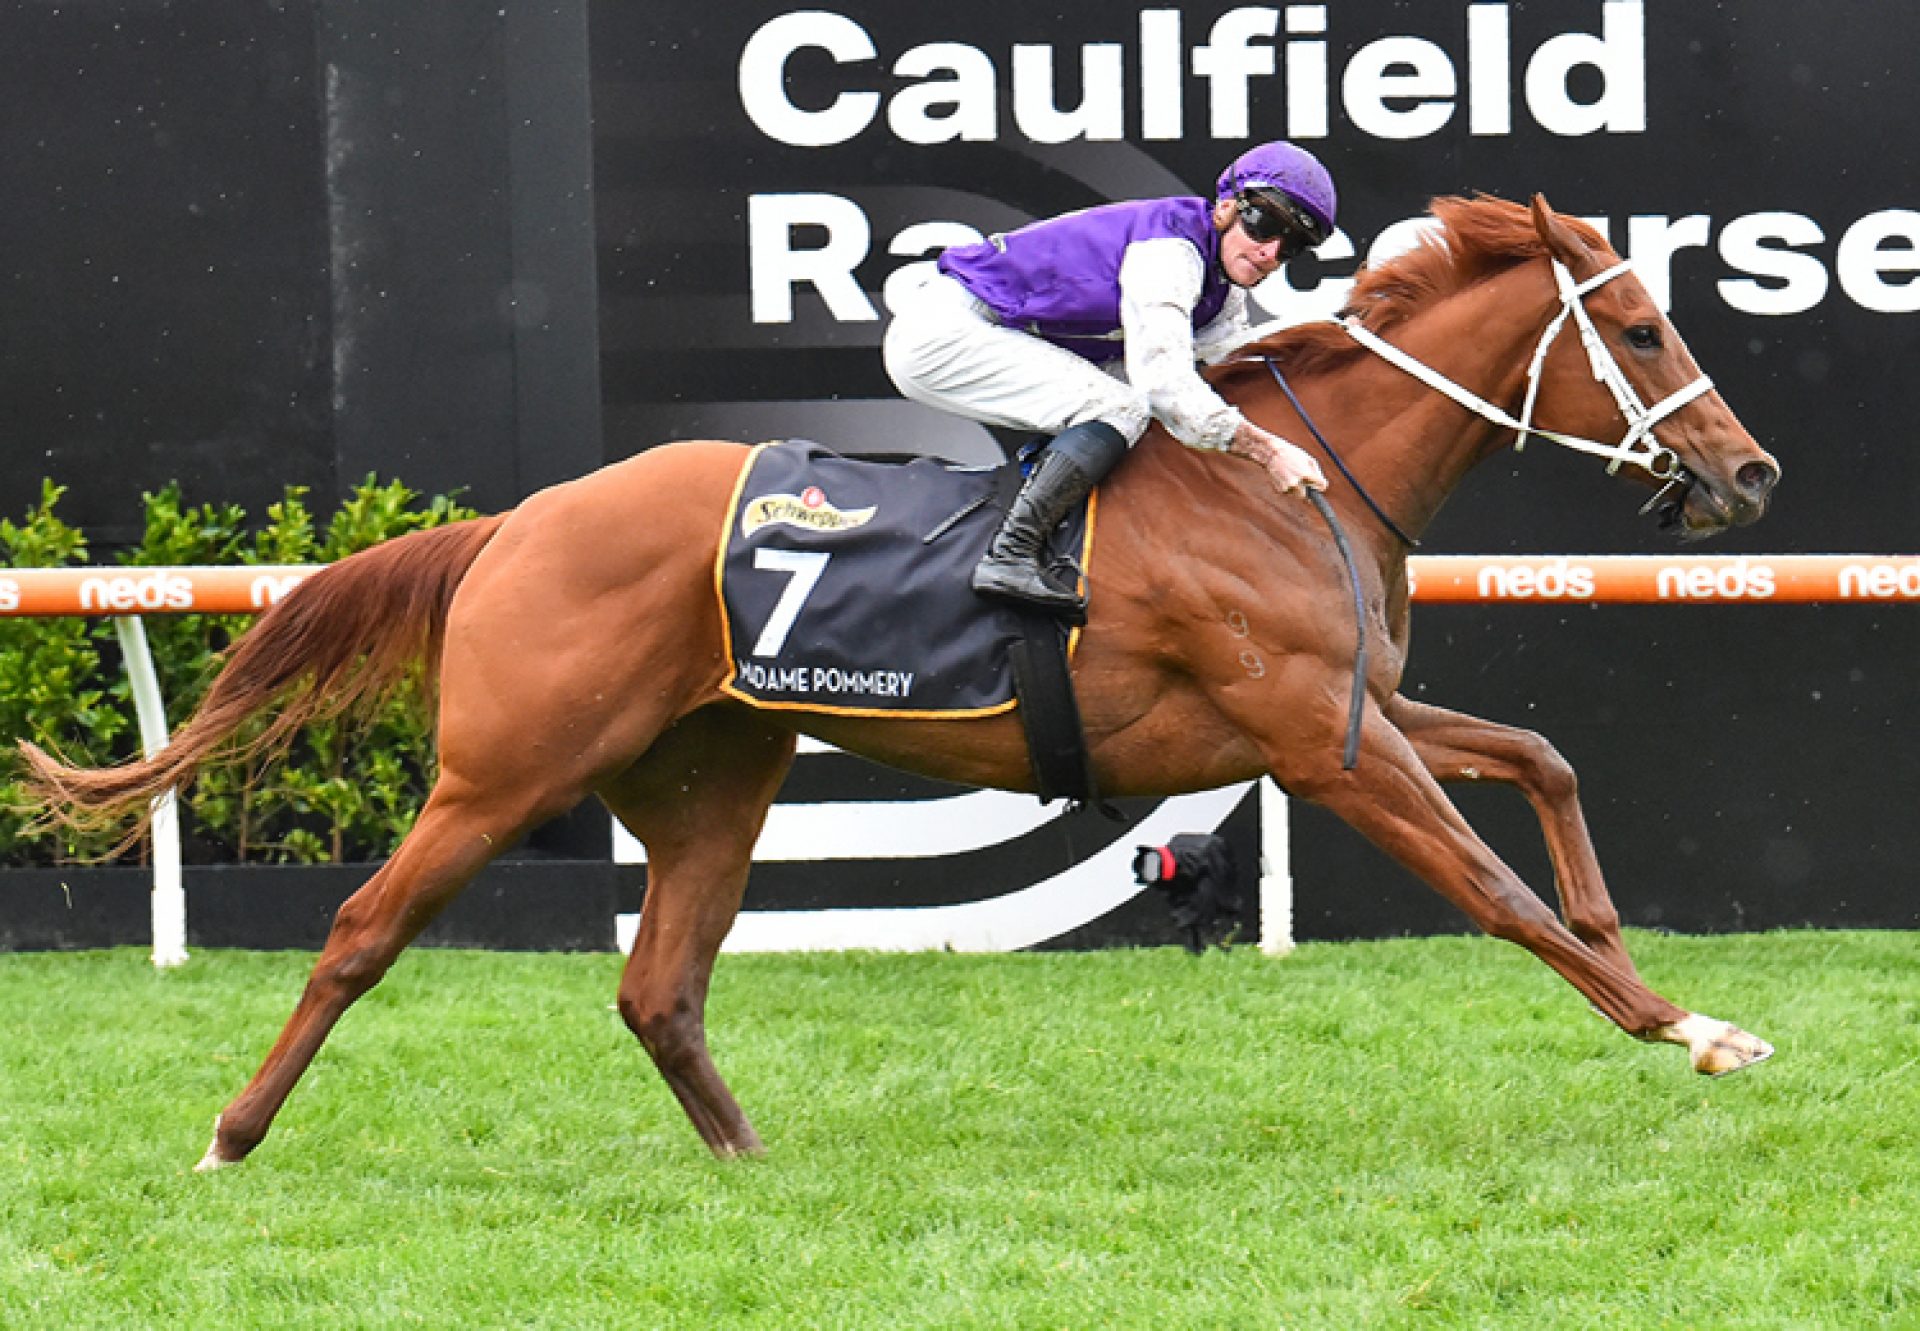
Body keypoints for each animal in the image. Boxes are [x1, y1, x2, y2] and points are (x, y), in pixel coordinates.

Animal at [18, 194, 1781, 1160]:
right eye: (1637, 320)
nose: (1749, 474)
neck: (1298, 480)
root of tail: (522, 518)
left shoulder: (1359, 708)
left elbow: (1542, 758)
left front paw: (1637, 948)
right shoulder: (1325, 741)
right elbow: (1497, 892)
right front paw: (1688, 1025)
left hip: (714, 776)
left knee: (658, 983)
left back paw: (753, 1157)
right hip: (505, 767)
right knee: (362, 931)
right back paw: (230, 1136)